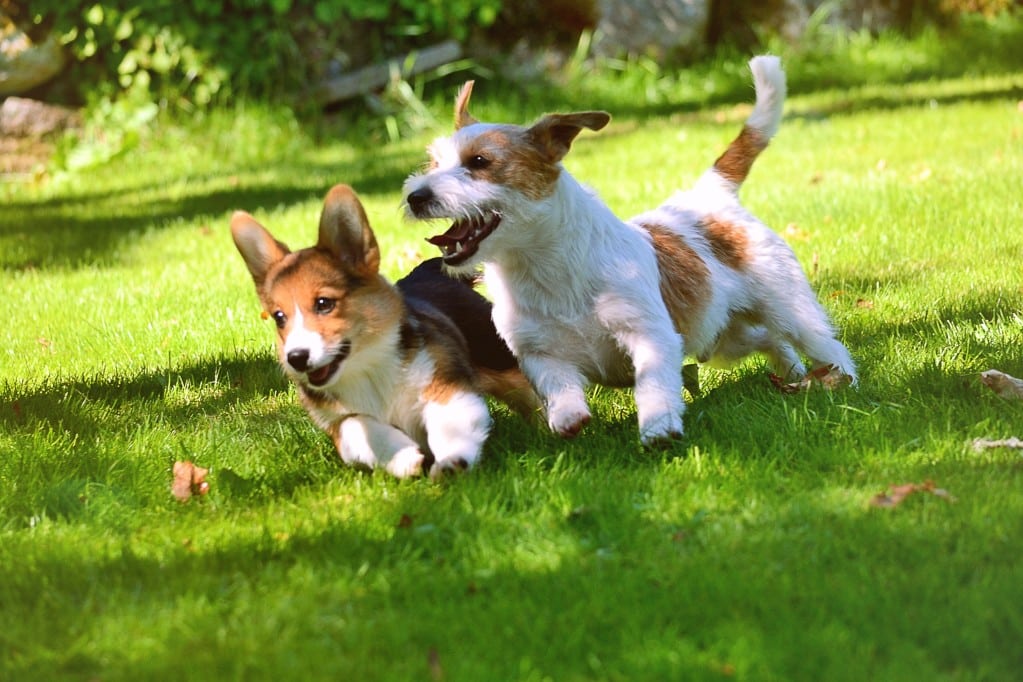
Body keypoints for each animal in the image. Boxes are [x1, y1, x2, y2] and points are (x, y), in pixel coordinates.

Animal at [230, 184, 536, 478]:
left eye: (324, 303)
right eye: (279, 317)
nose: (296, 358)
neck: (367, 367)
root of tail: (433, 271)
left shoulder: (447, 385)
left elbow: (449, 423)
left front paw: (452, 461)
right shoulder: (336, 423)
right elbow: (357, 427)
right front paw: (403, 458)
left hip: (502, 361)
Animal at [398, 55, 855, 445]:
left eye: (479, 162)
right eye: (432, 163)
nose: (416, 197)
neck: (544, 268)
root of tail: (710, 194)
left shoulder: (650, 336)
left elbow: (653, 383)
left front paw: (658, 427)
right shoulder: (537, 352)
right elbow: (556, 384)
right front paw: (568, 416)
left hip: (787, 308)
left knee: (820, 343)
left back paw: (843, 381)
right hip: (724, 336)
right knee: (770, 341)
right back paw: (793, 372)